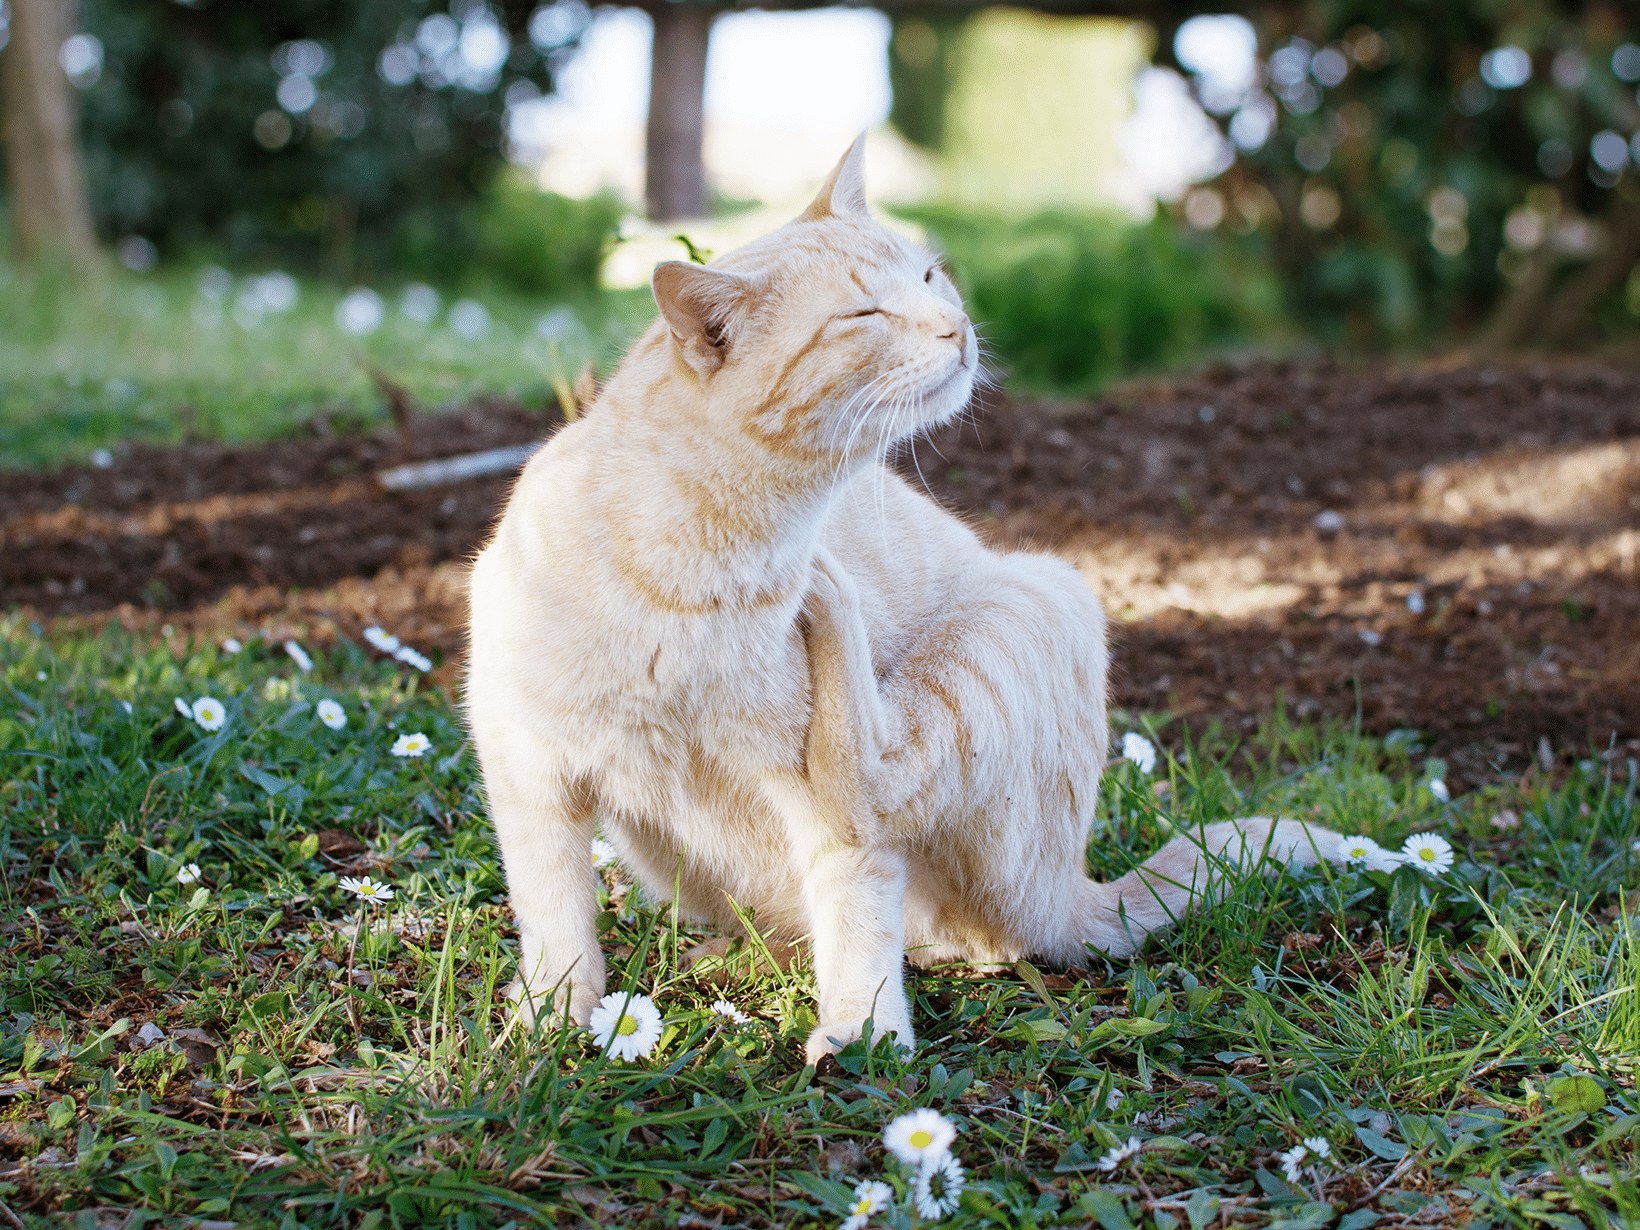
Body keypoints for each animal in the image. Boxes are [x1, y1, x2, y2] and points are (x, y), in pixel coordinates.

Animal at [465, 132, 1344, 1062]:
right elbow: (556, 918)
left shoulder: (816, 809)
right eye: (864, 317)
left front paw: (864, 1035)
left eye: (928, 277)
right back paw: (732, 957)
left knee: (880, 801)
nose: (956, 328)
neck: (704, 565)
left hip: (1041, 595)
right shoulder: (525, 770)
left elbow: (856, 898)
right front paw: (550, 1021)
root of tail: (1080, 889)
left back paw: (832, 600)